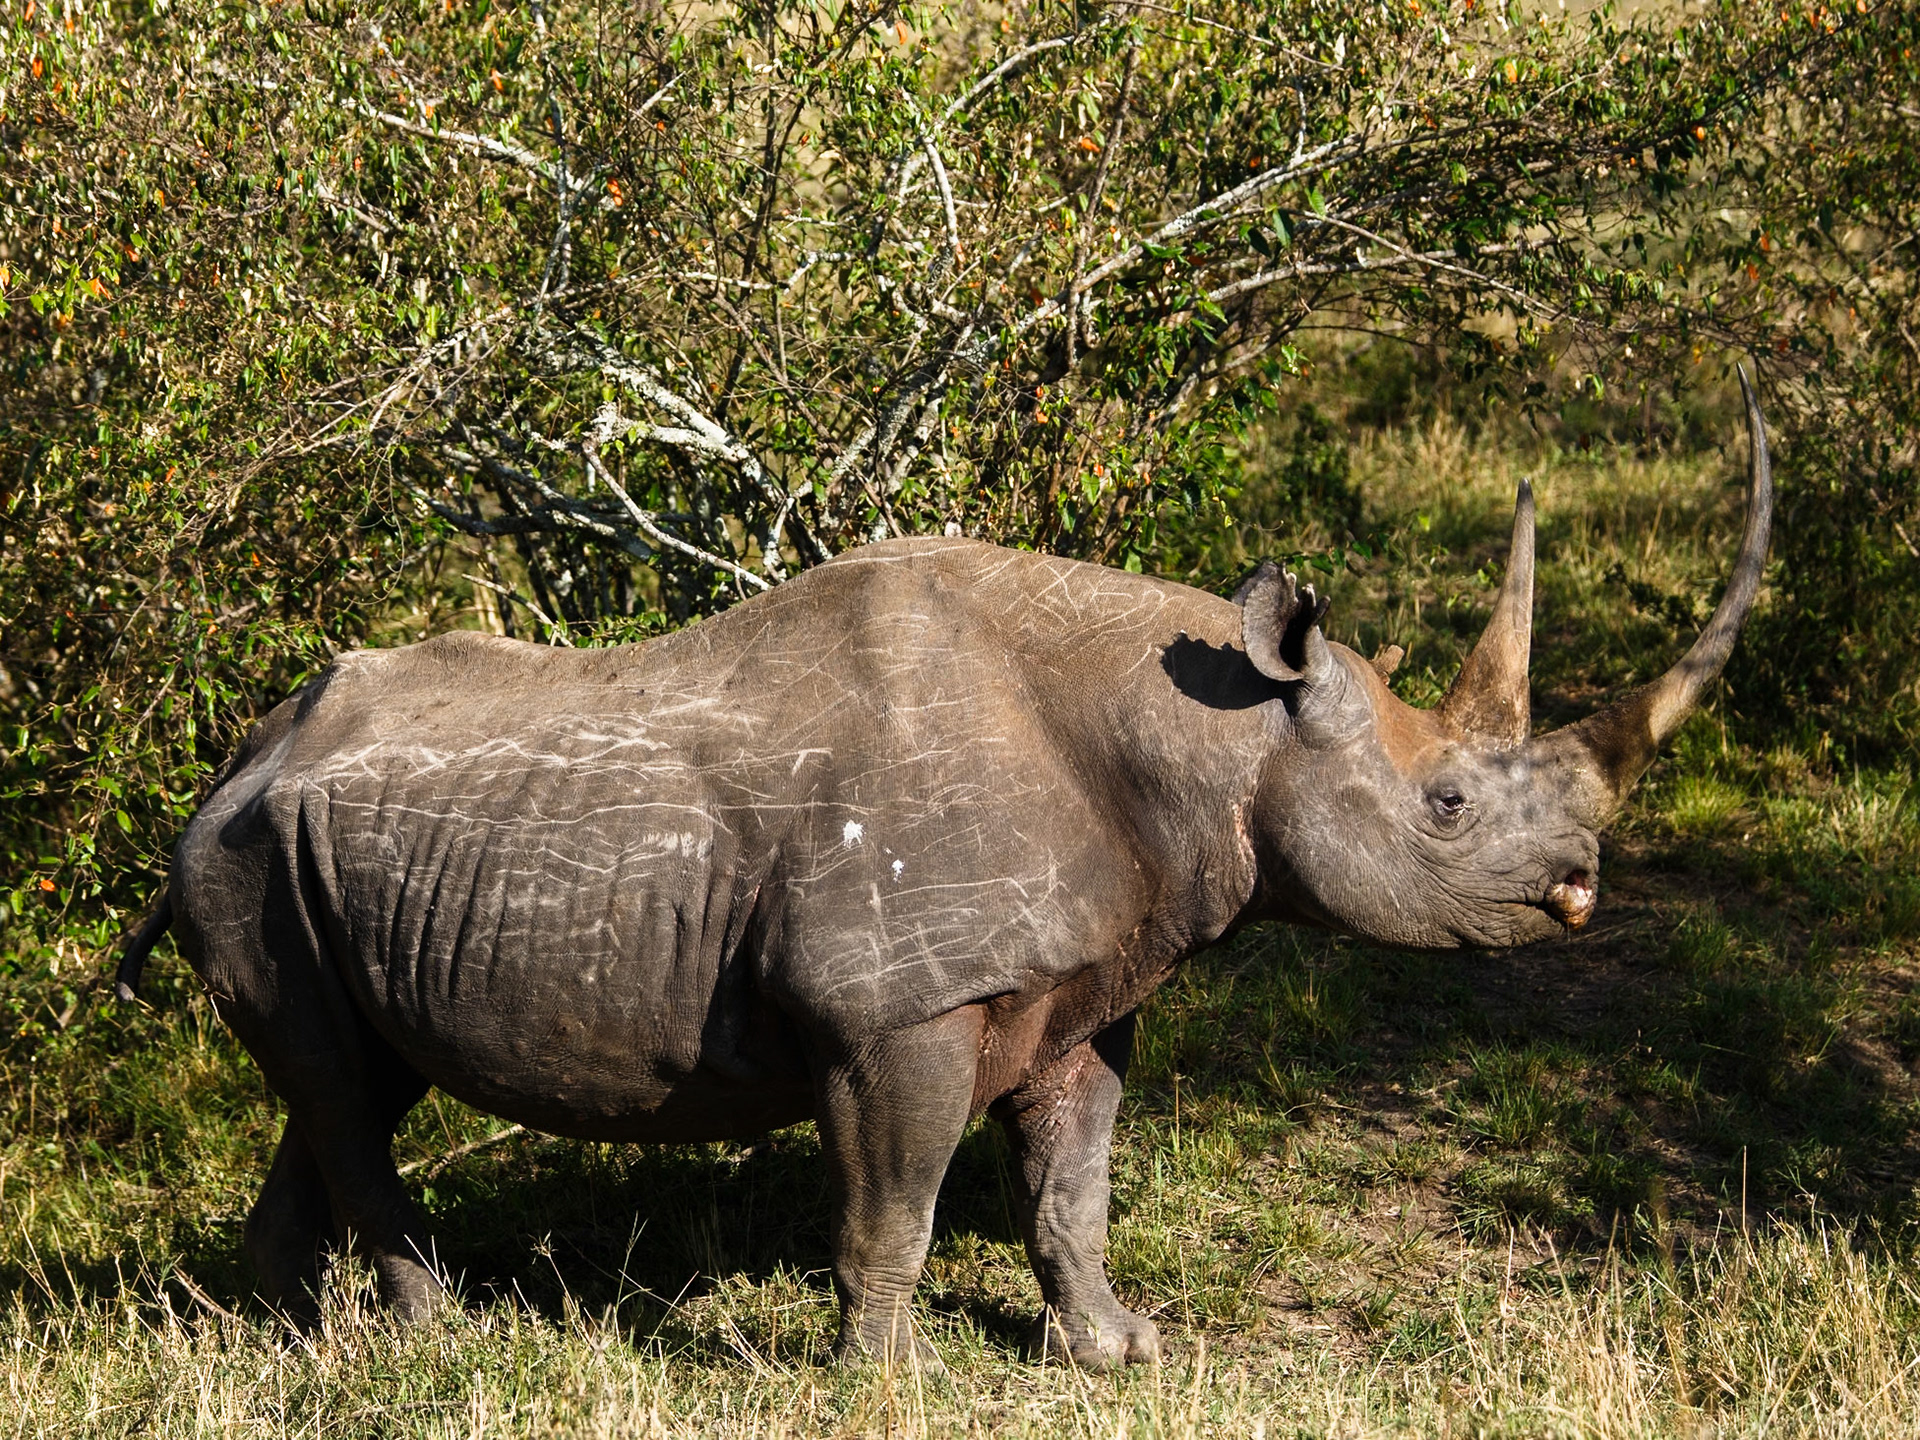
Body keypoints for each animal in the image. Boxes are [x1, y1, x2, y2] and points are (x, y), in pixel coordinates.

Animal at [117, 376, 1772, 1370]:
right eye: (1445, 805)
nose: (1579, 884)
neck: (1221, 737)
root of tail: (231, 760)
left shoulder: (1082, 983)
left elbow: (1071, 1184)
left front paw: (1120, 1351)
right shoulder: (893, 1005)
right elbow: (893, 1209)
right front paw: (884, 1379)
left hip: (304, 855)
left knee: (347, 1074)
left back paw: (276, 1335)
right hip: (245, 859)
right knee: (343, 1089)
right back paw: (435, 1337)